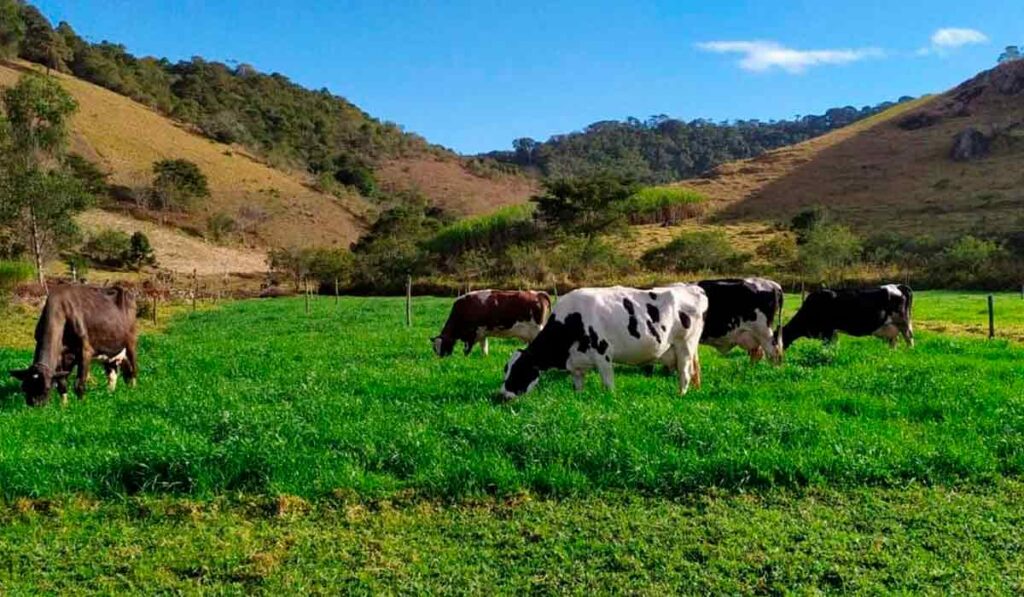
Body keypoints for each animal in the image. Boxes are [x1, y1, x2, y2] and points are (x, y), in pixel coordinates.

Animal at [9, 284, 140, 405]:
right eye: (24, 387)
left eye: (47, 388)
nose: (34, 405)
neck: (61, 311)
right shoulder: (60, 355)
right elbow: (61, 383)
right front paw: (64, 406)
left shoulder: (85, 351)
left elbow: (79, 383)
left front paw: (80, 405)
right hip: (111, 351)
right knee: (115, 373)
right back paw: (111, 394)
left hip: (131, 343)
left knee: (133, 369)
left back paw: (133, 392)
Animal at [499, 286, 708, 401]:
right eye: (505, 369)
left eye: (520, 370)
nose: (501, 396)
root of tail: (692, 289)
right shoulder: (576, 365)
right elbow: (578, 388)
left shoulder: (603, 355)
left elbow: (608, 385)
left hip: (685, 346)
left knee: (685, 373)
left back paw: (680, 396)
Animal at [778, 284, 917, 350]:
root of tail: (899, 286)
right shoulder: (833, 332)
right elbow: (834, 347)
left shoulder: (827, 331)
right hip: (891, 326)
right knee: (894, 340)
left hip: (903, 322)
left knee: (909, 339)